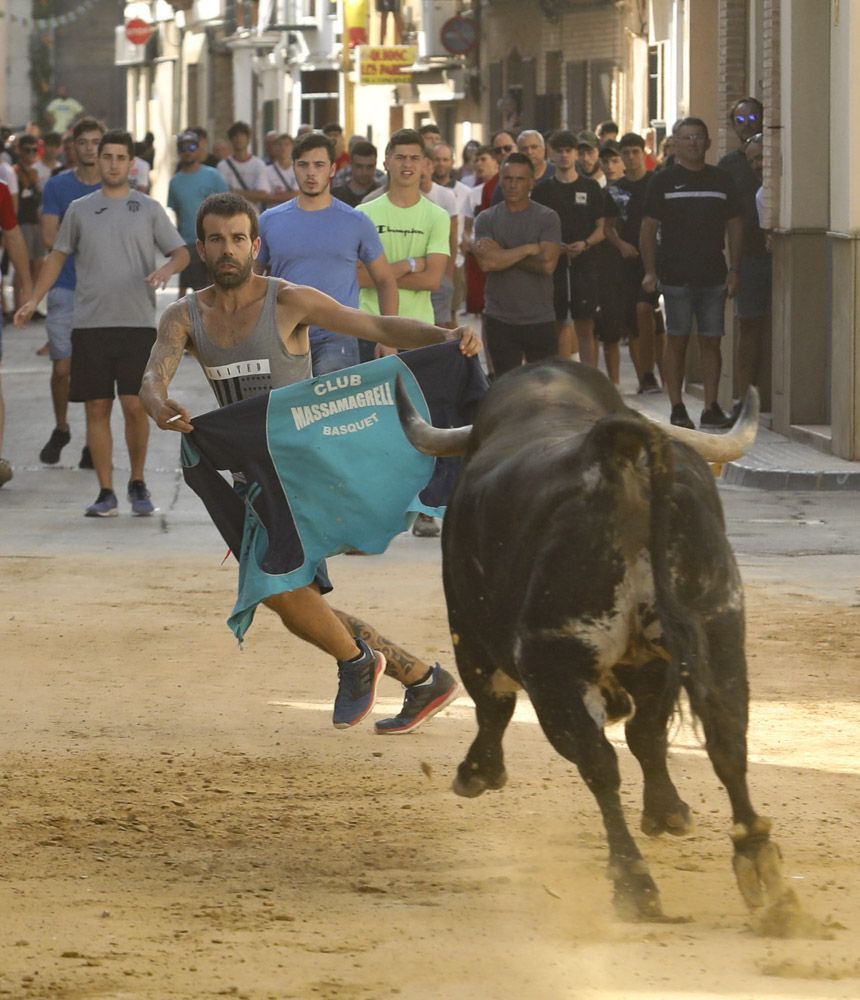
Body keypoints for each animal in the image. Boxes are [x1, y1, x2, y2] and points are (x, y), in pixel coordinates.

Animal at [394, 360, 788, 920]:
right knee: (726, 739)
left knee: (598, 762)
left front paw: (477, 772)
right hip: (719, 631)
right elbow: (649, 735)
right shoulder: (654, 663)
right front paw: (669, 811)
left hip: (557, 665)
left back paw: (635, 882)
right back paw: (763, 872)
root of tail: (614, 455)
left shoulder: (470, 637)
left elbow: (493, 706)